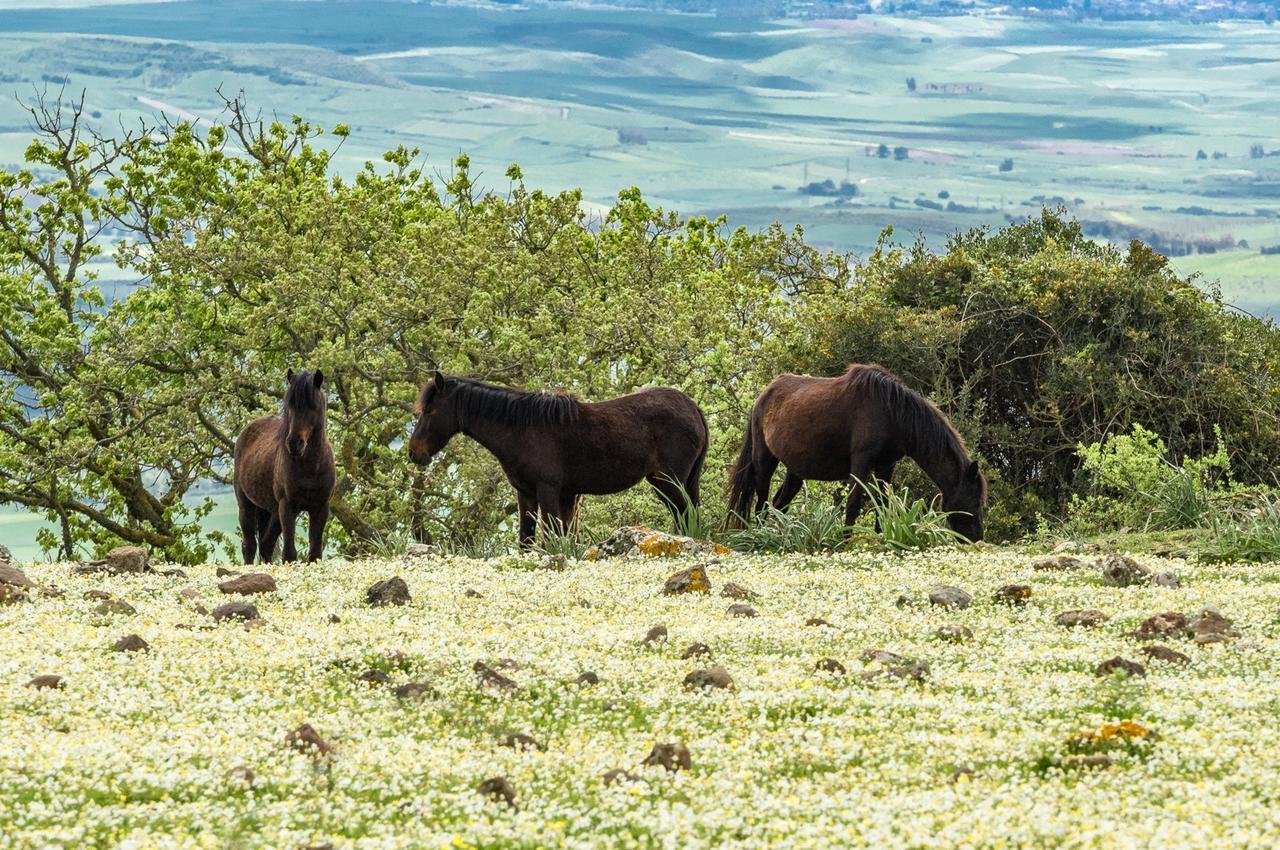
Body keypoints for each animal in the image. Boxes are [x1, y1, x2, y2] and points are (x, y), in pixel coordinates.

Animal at [231, 366, 335, 560]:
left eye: (314, 405)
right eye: (290, 405)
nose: (294, 443)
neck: (311, 468)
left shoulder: (320, 508)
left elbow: (315, 553)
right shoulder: (287, 507)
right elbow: (289, 553)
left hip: (272, 511)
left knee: (266, 544)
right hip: (246, 504)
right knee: (249, 546)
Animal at [409, 373, 711, 547]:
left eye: (430, 411)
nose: (414, 453)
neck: (523, 429)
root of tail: (693, 407)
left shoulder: (549, 491)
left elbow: (553, 537)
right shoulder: (530, 495)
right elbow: (528, 539)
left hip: (669, 481)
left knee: (686, 514)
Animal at [727, 363, 983, 537]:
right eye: (975, 500)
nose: (976, 539)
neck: (891, 413)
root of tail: (763, 395)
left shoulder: (886, 465)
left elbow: (883, 504)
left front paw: (882, 538)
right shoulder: (861, 463)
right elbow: (853, 505)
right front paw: (846, 540)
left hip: (795, 472)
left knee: (780, 503)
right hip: (764, 461)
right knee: (761, 502)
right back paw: (758, 535)